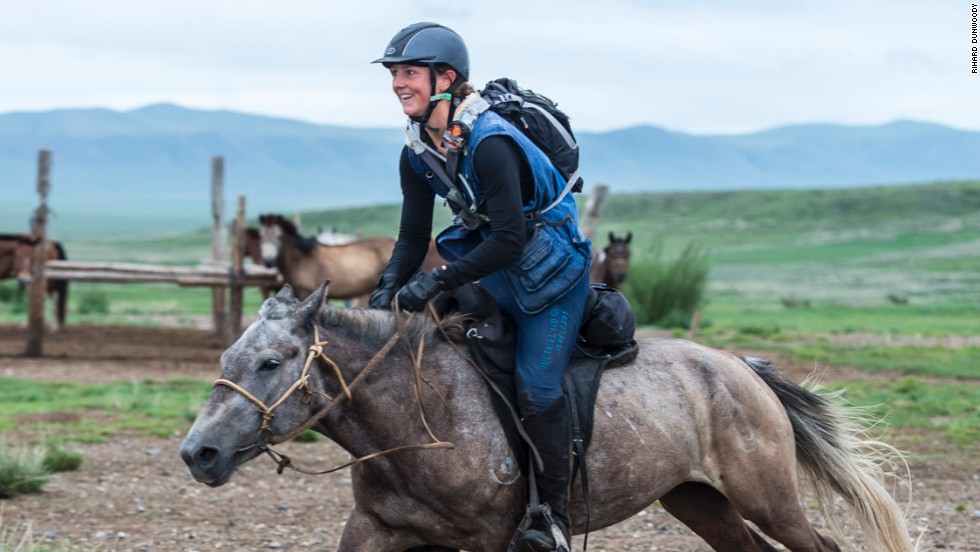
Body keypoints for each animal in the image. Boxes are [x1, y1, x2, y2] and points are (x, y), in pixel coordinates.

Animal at [180, 284, 916, 552]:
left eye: (271, 362)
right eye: (227, 356)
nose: (198, 453)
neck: (422, 420)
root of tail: (740, 367)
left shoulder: (488, 544)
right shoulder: (375, 530)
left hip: (767, 497)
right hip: (696, 498)